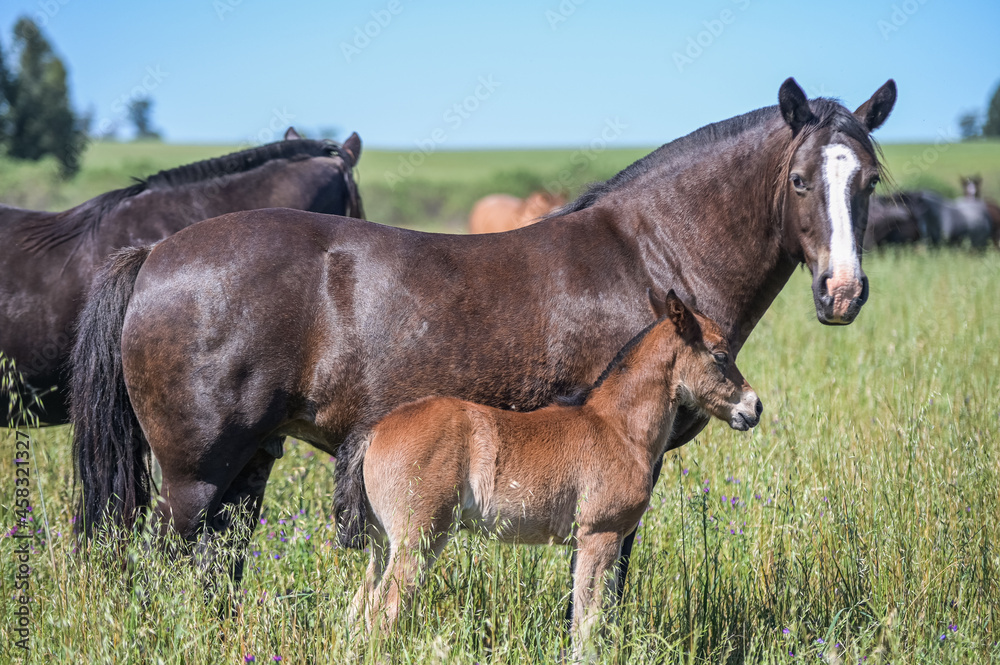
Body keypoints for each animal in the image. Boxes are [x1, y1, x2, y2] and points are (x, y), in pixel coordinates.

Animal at [72, 76, 900, 608]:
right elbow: (608, 584)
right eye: (800, 180)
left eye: (868, 180)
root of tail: (153, 254)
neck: (648, 252)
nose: (843, 292)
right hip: (194, 476)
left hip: (245, 467)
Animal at [350, 290, 756, 652]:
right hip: (418, 539)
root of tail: (374, 432)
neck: (618, 429)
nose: (755, 407)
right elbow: (587, 622)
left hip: (383, 542)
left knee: (359, 607)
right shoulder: (599, 535)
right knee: (383, 611)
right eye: (721, 355)